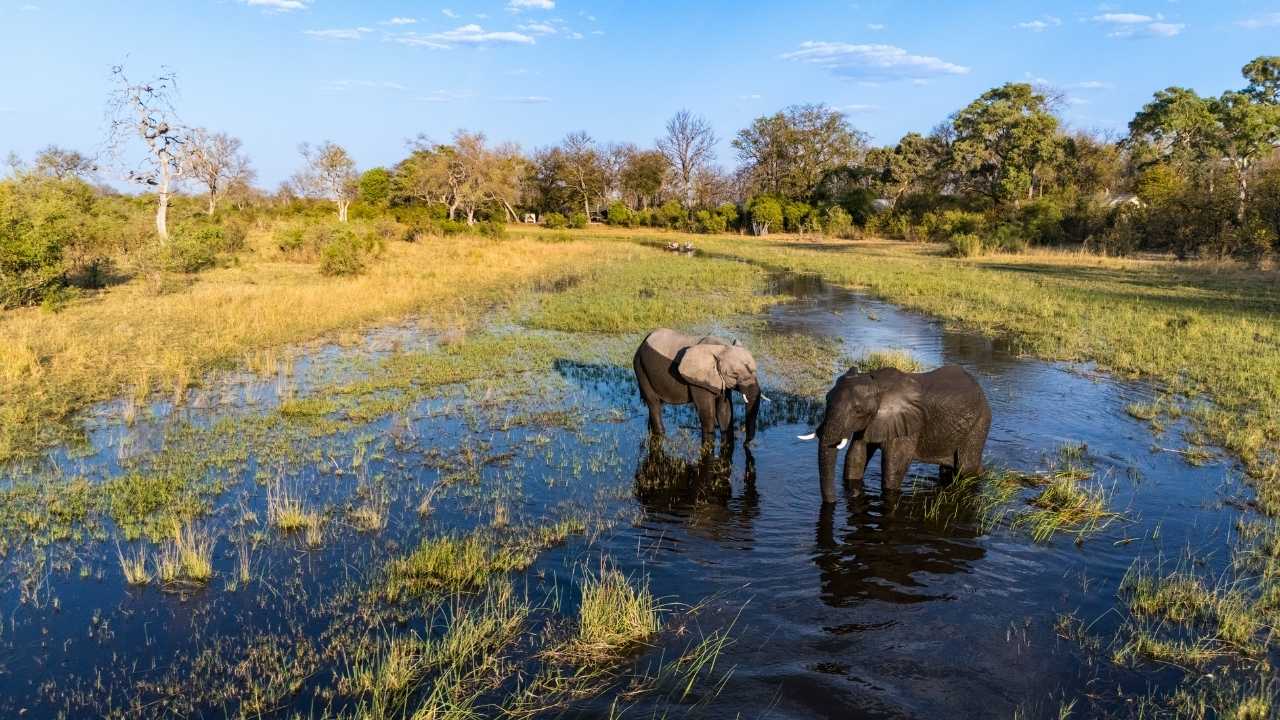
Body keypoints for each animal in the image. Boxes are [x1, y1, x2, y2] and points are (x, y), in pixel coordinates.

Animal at [633, 328, 765, 444]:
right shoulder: (698, 381)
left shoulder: (719, 380)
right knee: (653, 403)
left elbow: (725, 410)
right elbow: (707, 412)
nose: (746, 443)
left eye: (755, 370)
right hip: (640, 366)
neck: (720, 348)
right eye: (733, 375)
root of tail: (643, 341)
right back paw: (660, 433)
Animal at [800, 365, 991, 504]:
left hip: (980, 422)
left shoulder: (909, 424)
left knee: (966, 467)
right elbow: (856, 457)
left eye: (858, 411)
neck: (876, 383)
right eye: (826, 399)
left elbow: (893, 465)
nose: (834, 501)